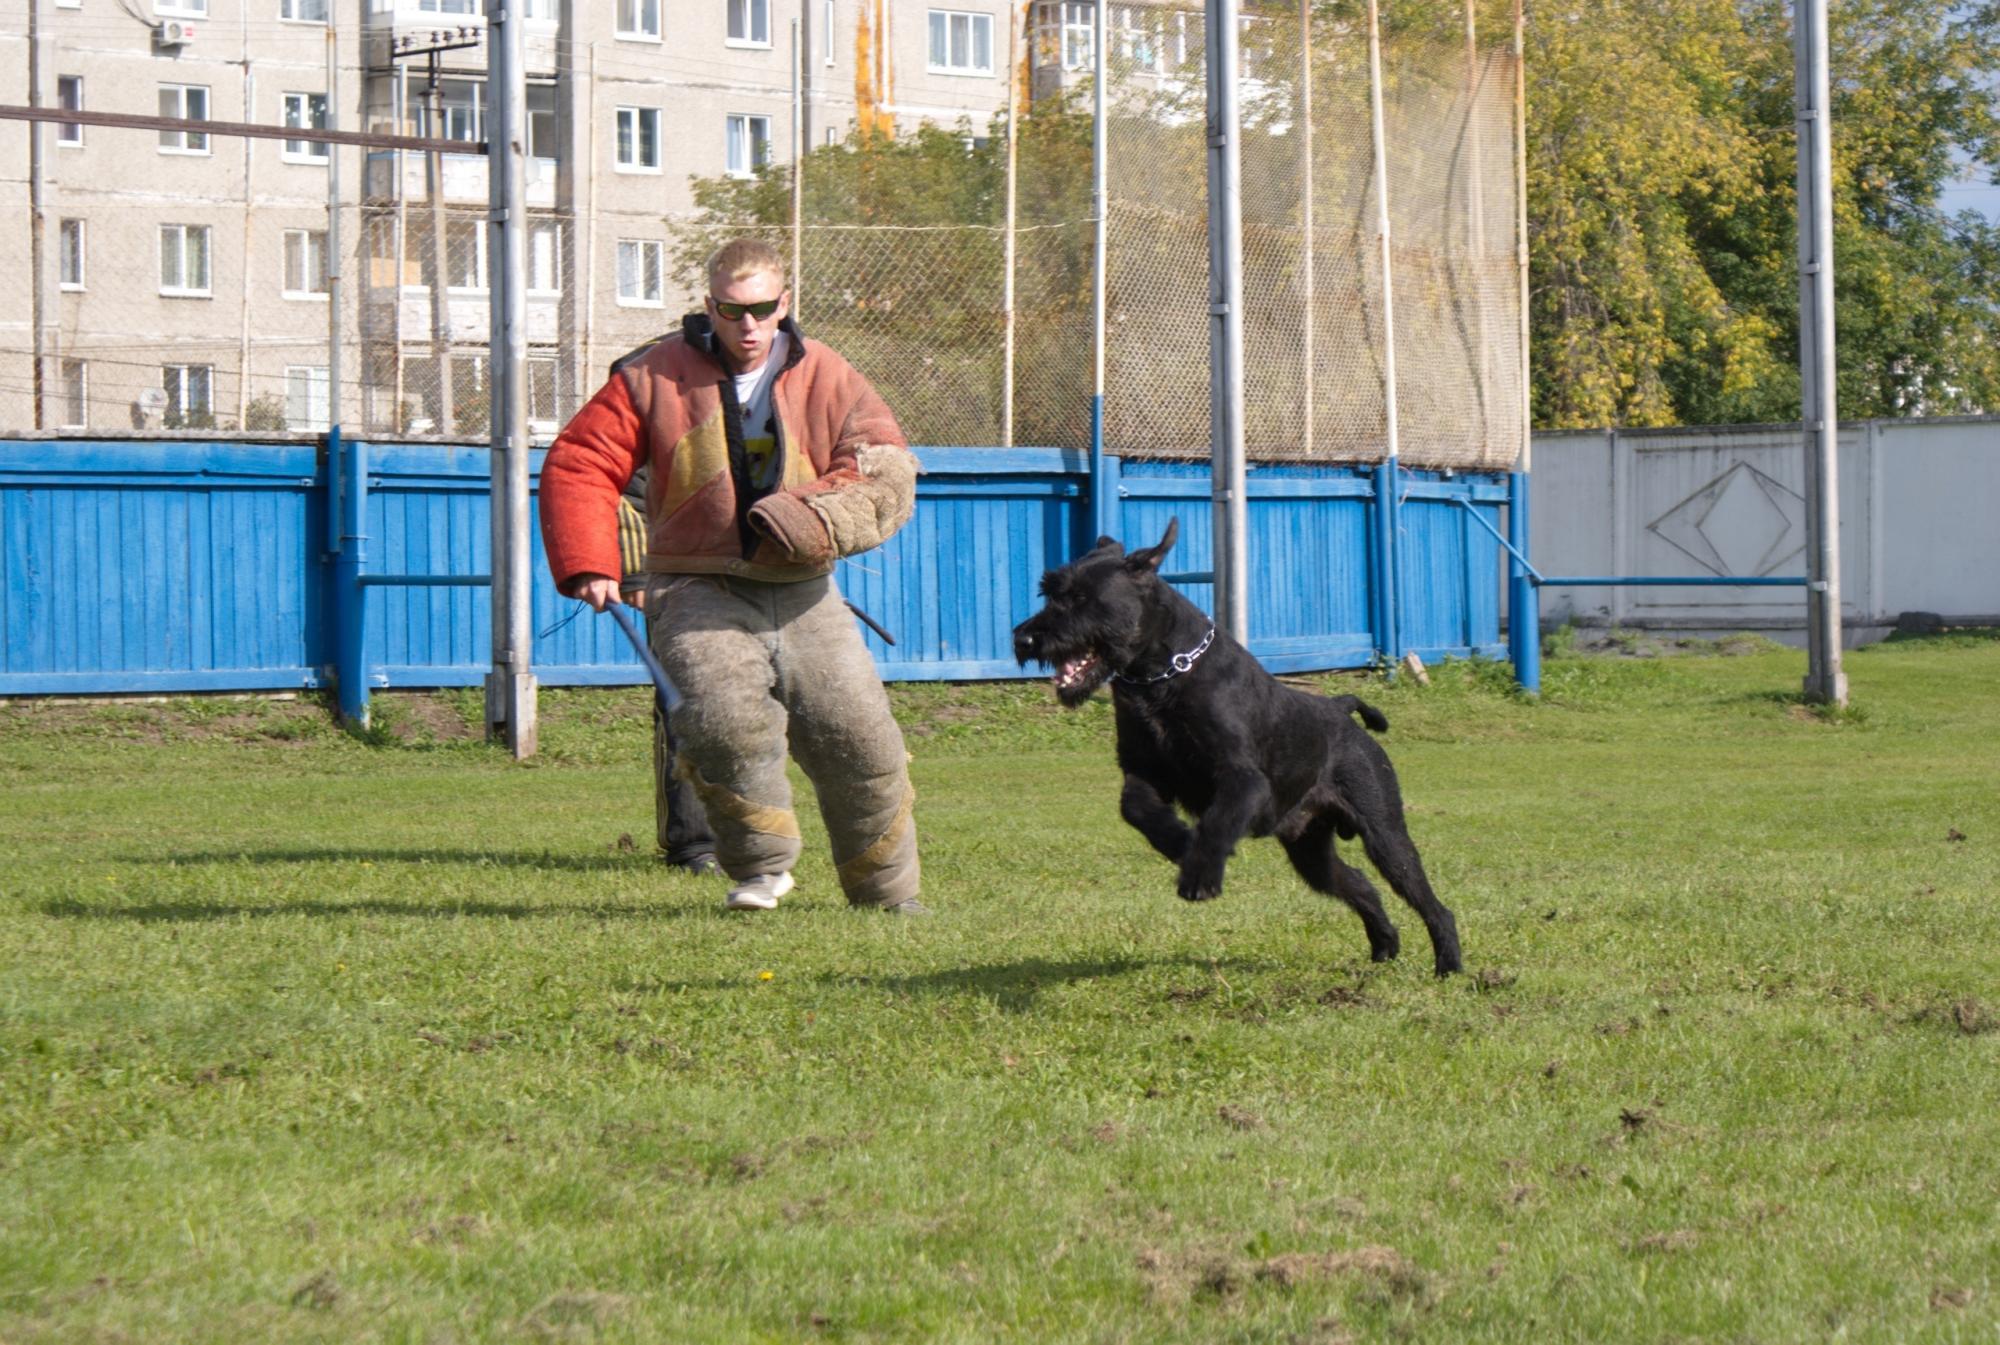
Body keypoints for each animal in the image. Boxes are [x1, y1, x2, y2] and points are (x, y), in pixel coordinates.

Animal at [1024, 516, 1464, 976]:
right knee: (1359, 883)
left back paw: (1448, 965)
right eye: (1048, 592)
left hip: (1384, 834)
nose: (1025, 639)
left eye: (1079, 597)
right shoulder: (1143, 772)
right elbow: (1136, 809)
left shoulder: (1242, 777)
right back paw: (1384, 944)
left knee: (1428, 900)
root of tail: (1340, 708)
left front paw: (1200, 873)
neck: (1164, 676)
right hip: (1310, 853)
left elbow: (1219, 820)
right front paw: (1180, 843)